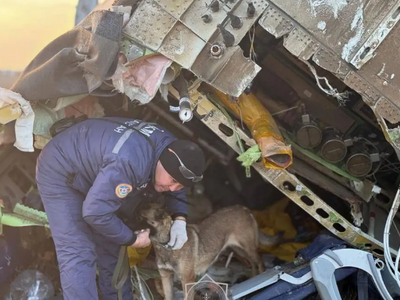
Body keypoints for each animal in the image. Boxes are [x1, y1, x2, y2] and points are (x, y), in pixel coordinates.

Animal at [139, 203, 282, 298]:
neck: (166, 244)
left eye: (139, 217)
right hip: (240, 249)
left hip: (248, 247)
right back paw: (254, 276)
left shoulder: (187, 280)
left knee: (259, 261)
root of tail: (244, 208)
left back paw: (262, 275)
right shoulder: (166, 277)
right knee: (251, 263)